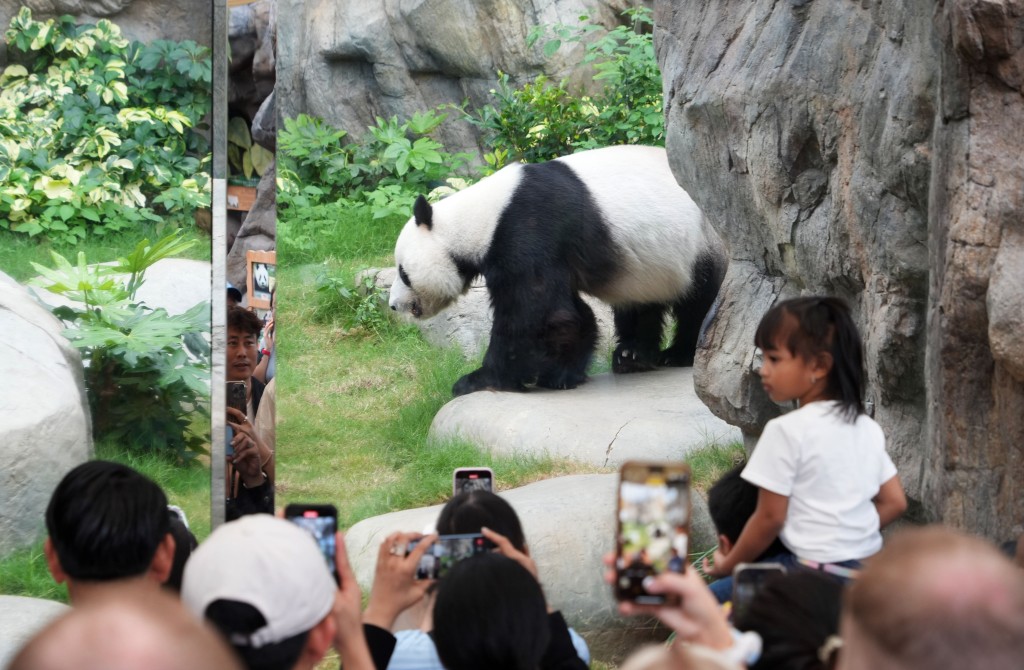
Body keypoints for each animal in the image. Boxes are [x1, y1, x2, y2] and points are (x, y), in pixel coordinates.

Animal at [385, 145, 729, 399]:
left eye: (403, 272)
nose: (393, 305)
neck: (479, 217)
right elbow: (567, 314)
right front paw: (564, 373)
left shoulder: (526, 228)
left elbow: (532, 314)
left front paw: (478, 380)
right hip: (646, 265)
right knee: (640, 304)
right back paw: (632, 355)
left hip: (700, 242)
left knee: (699, 300)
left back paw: (679, 353)